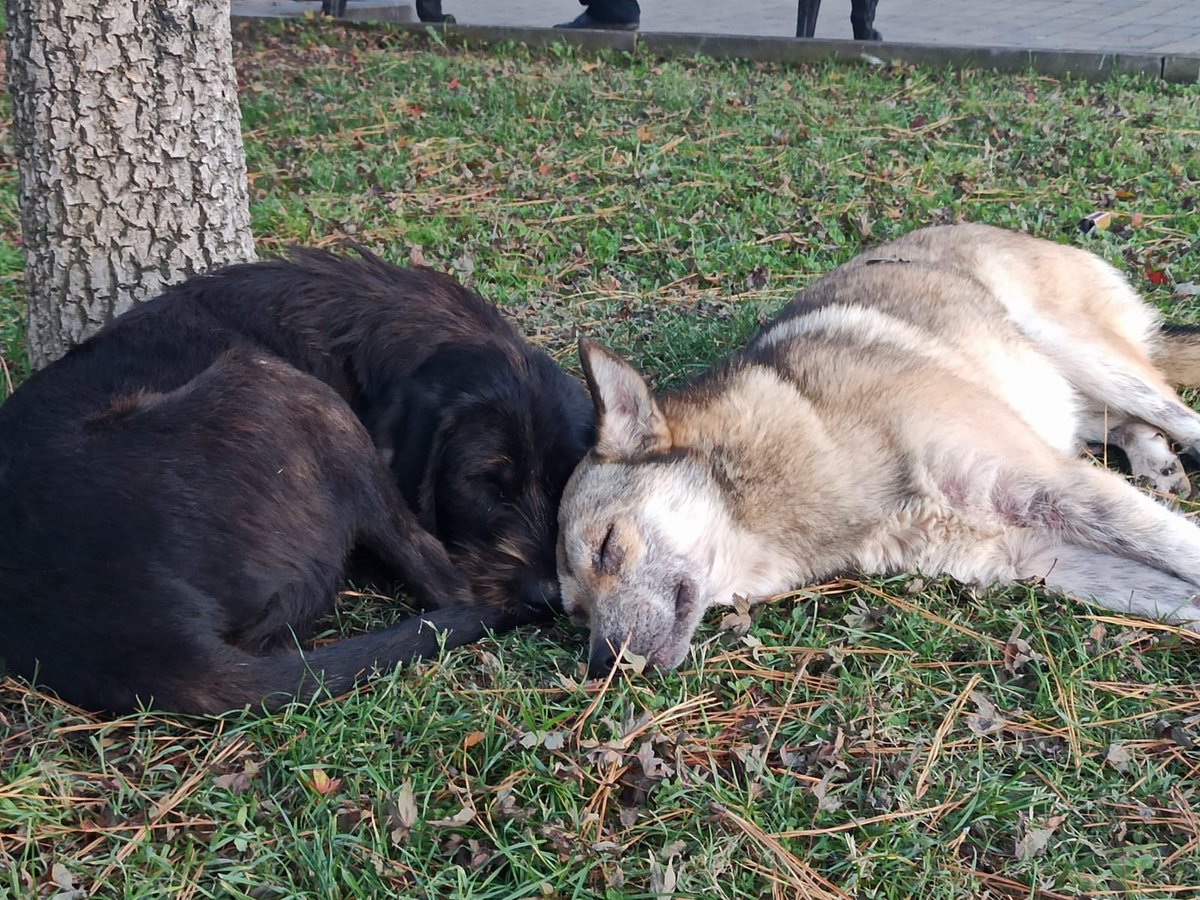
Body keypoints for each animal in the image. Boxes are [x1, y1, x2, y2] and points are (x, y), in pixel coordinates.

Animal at [0, 250, 597, 715]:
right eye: (486, 486)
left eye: (564, 488)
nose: (547, 597)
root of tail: (150, 640)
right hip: (292, 392)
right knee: (441, 578)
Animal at [561, 224, 1200, 676]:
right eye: (576, 612)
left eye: (609, 547)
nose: (603, 668)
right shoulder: (1038, 556)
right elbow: (1178, 593)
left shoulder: (1053, 486)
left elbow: (1183, 551)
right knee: (1116, 422)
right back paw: (1154, 459)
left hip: (1084, 356)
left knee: (1174, 412)